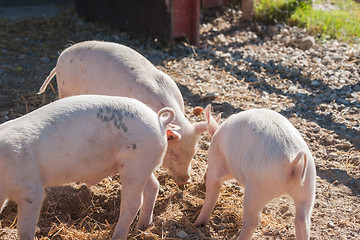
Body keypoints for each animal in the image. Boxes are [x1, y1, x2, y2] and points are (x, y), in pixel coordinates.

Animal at [0, 94, 180, 239]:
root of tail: (160, 121)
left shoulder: (31, 190)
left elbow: (24, 229)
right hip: (143, 164)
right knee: (153, 186)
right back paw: (142, 227)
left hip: (136, 164)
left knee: (133, 203)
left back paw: (118, 236)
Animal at [195, 106, 316, 240]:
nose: (203, 178)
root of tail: (293, 160)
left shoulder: (216, 161)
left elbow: (212, 192)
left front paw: (197, 225)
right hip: (308, 185)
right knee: (303, 221)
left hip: (257, 187)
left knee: (253, 221)